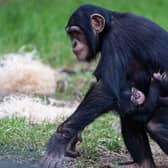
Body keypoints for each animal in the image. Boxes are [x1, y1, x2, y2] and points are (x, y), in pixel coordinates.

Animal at [42, 4, 168, 168]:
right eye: (71, 34)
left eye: (77, 33)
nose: (73, 44)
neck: (109, 26)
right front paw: (73, 136)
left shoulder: (116, 38)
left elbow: (105, 88)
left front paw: (60, 138)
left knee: (156, 126)